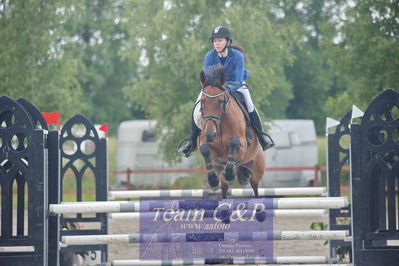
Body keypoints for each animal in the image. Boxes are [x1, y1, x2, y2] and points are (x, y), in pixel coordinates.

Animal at [198, 67, 266, 200]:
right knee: (224, 187)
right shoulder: (208, 145)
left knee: (255, 186)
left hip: (257, 169)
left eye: (220, 101)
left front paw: (230, 175)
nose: (210, 134)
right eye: (202, 101)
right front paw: (213, 181)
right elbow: (204, 149)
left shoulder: (243, 145)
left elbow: (233, 142)